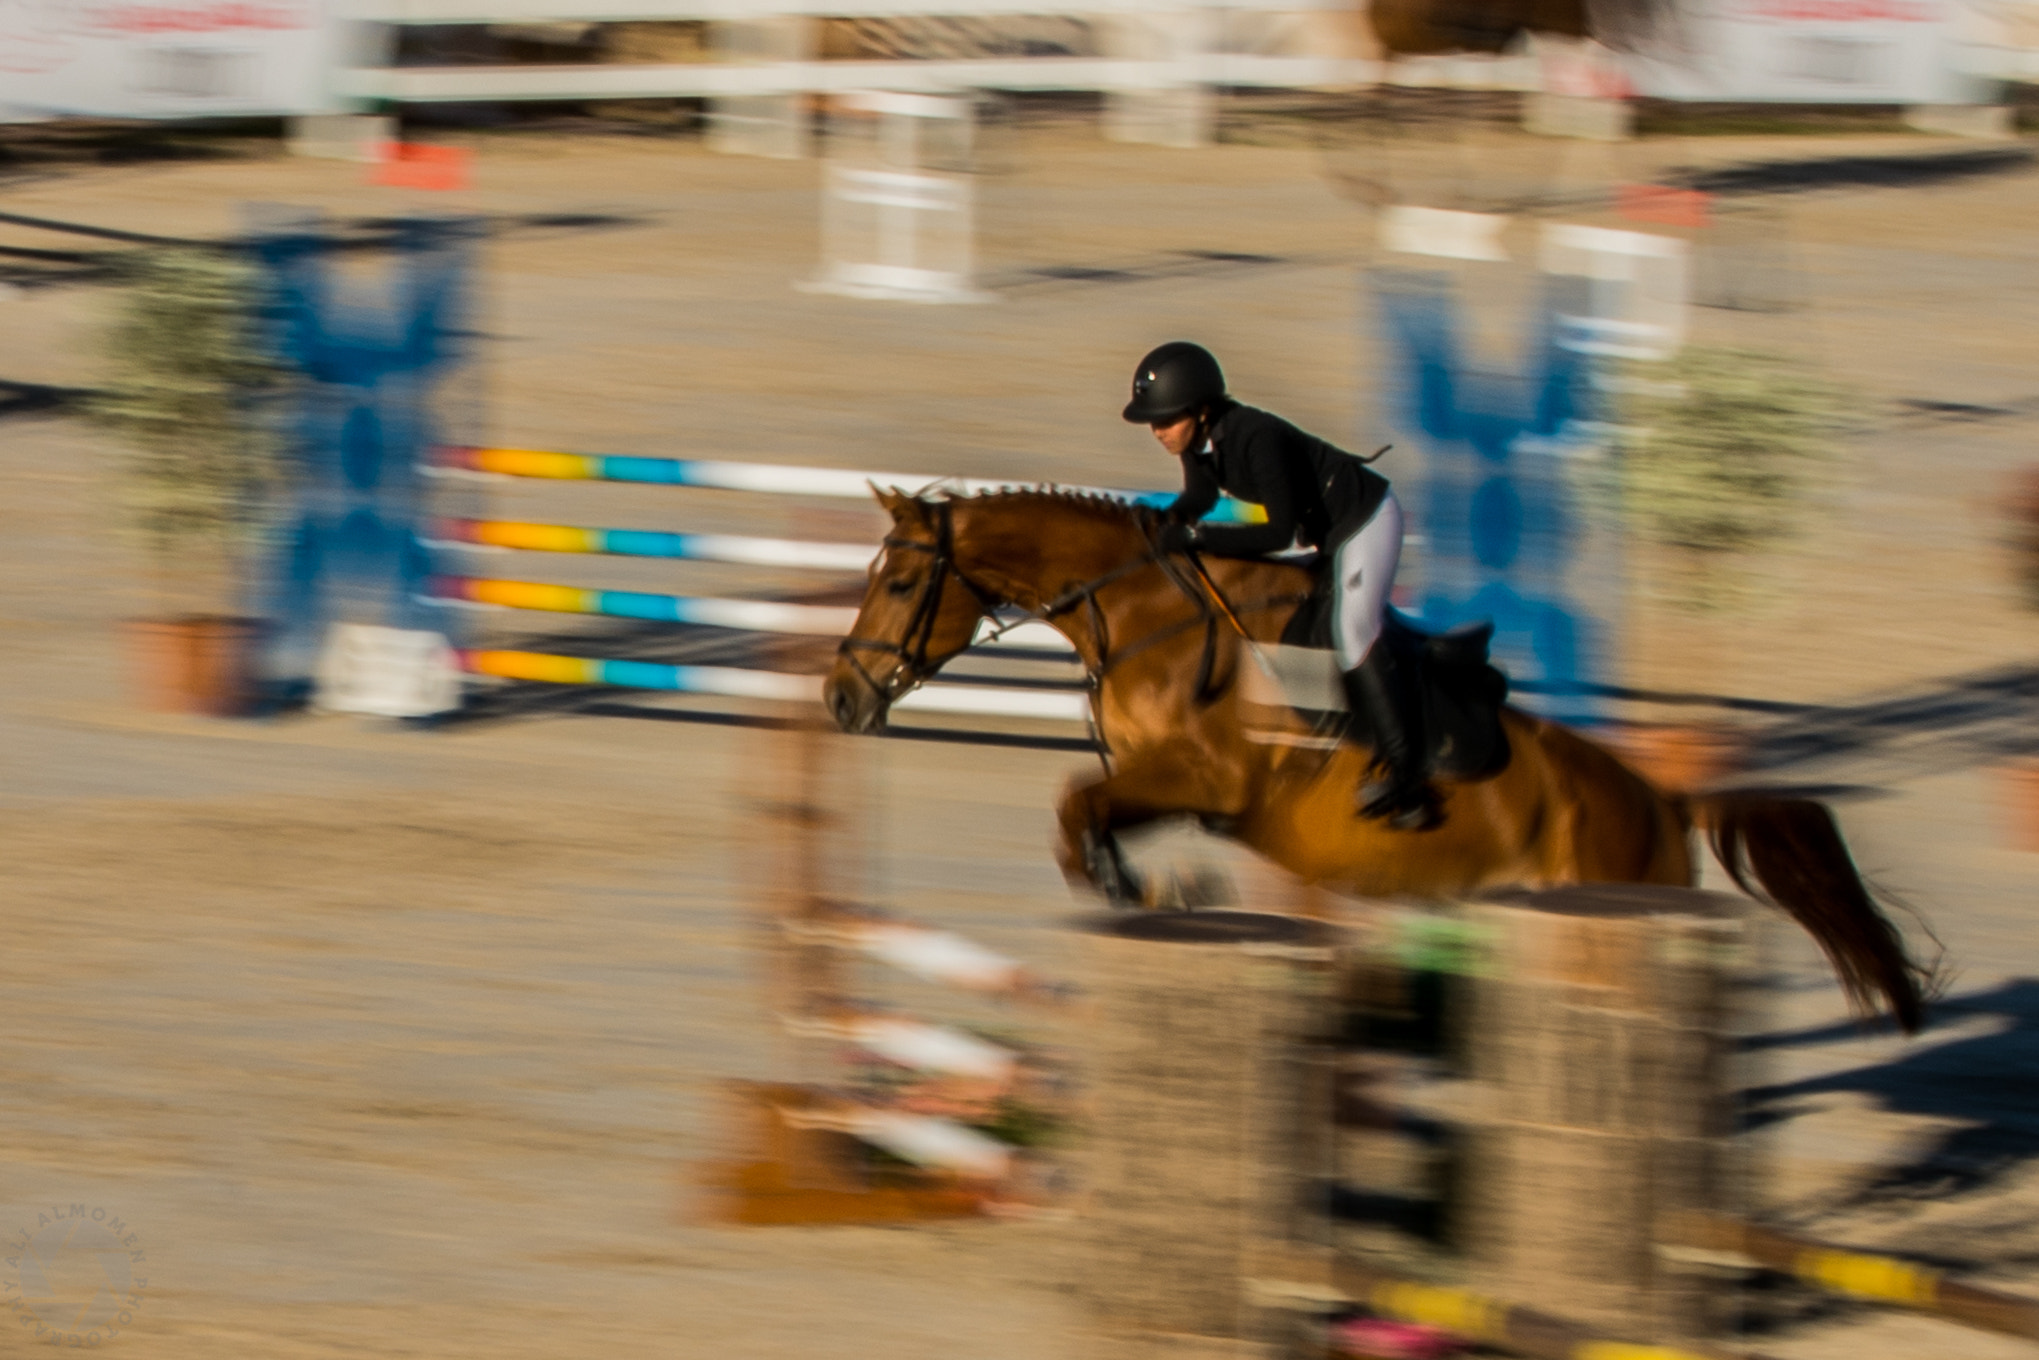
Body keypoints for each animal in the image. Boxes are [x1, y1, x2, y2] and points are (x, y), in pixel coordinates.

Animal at [824, 488, 1931, 1032]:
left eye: (901, 580)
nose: (840, 695)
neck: (1142, 614)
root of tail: (1662, 798)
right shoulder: (1171, 787)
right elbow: (1081, 815)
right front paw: (1160, 890)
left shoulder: (1210, 780)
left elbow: (1074, 807)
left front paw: (1148, 892)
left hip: (1609, 885)